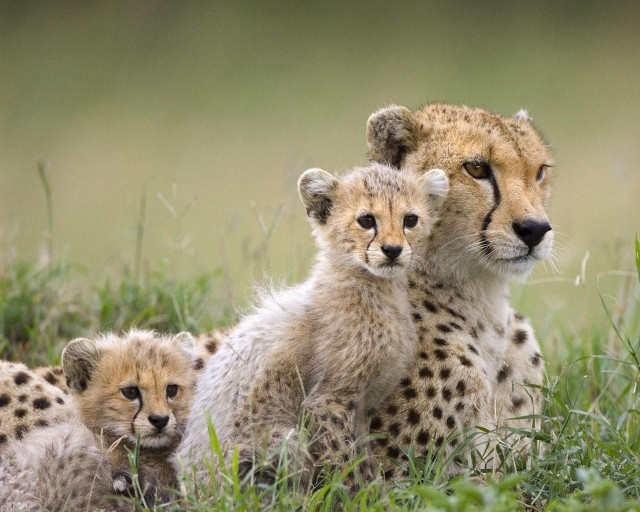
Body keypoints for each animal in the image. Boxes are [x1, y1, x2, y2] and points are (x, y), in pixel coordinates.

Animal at [174, 163, 449, 491]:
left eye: (410, 220)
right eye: (366, 220)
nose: (393, 250)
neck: (376, 289)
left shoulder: (363, 406)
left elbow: (363, 456)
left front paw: (376, 491)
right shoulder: (327, 401)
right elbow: (346, 462)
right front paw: (356, 495)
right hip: (279, 441)